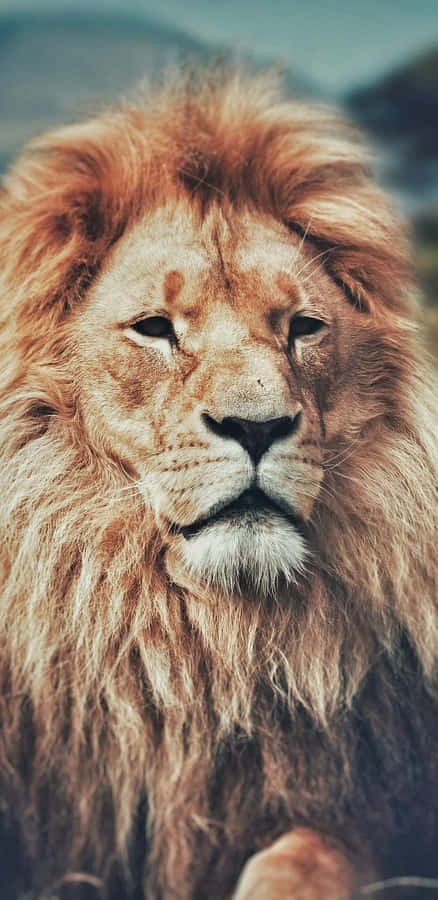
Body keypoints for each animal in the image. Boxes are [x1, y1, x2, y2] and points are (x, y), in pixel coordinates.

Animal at [0, 70, 437, 900]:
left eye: (303, 327)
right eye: (154, 327)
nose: (257, 427)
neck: (197, 645)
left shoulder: (372, 808)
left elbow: (302, 856)